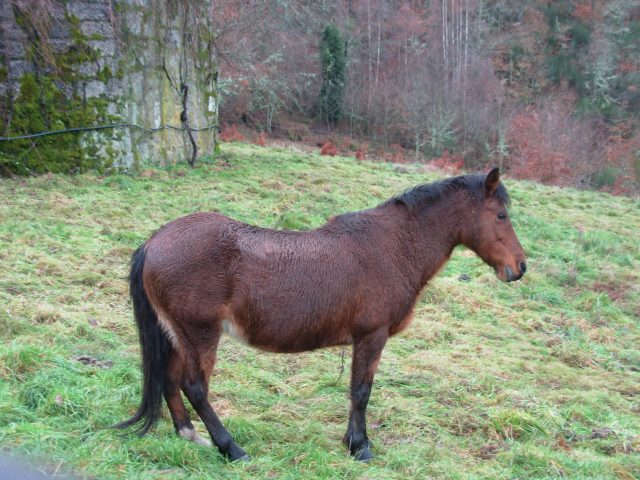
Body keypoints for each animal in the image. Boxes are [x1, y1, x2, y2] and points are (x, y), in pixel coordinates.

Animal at [115, 168, 524, 462]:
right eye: (501, 215)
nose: (519, 267)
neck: (394, 246)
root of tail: (154, 242)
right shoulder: (372, 336)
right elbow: (361, 391)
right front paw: (360, 447)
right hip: (199, 334)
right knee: (194, 387)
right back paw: (232, 449)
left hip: (177, 335)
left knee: (170, 381)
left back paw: (189, 435)